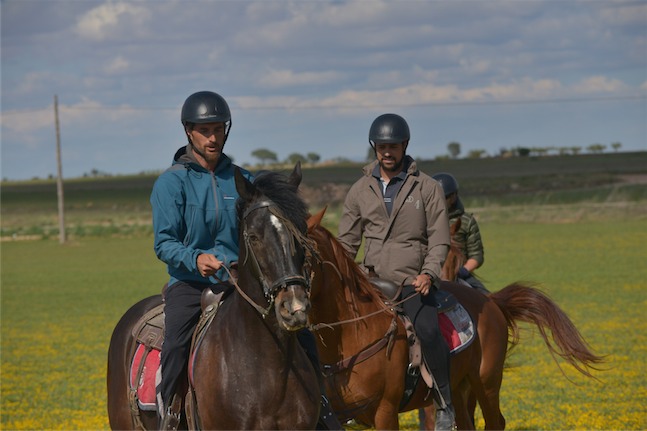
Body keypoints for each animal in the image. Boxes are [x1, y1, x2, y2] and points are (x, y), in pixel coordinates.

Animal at [306, 208, 604, 430]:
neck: (353, 334)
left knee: (495, 422)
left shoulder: (386, 411)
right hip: (460, 387)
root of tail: (491, 302)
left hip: (486, 382)